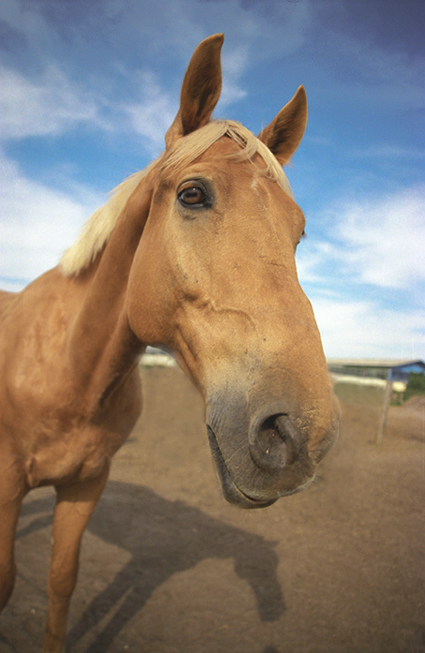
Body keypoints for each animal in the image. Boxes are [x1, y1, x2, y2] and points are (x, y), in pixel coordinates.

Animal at [0, 33, 338, 648]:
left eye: (299, 230)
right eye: (192, 194)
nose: (298, 433)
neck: (69, 368)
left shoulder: (85, 486)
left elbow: (61, 581)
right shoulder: (6, 485)